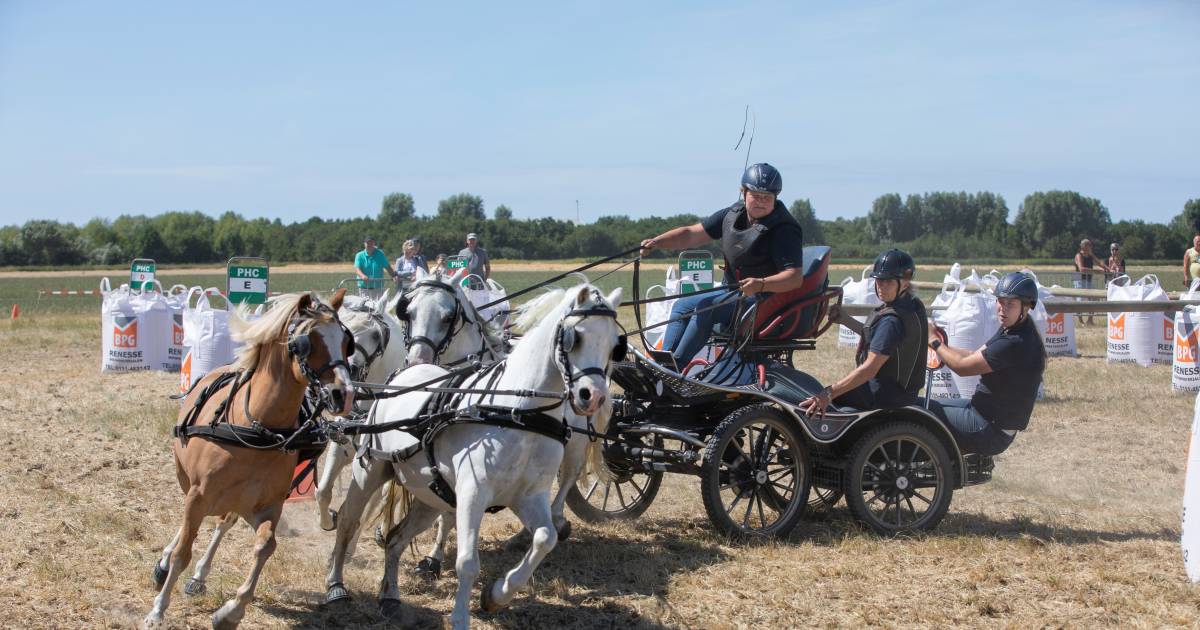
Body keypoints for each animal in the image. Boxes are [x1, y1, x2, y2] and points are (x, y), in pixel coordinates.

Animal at [144, 290, 355, 630]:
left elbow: (266, 545)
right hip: (190, 483)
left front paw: (231, 612)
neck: (257, 425)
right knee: (188, 528)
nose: (343, 395)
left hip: (236, 500)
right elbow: (182, 551)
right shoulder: (198, 495)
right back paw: (165, 564)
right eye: (306, 342)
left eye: (347, 342)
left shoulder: (267, 505)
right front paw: (157, 610)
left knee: (222, 523)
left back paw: (199, 577)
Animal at [325, 283, 625, 629]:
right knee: (348, 520)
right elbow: (467, 561)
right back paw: (335, 585)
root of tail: (402, 374)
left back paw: (390, 598)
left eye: (615, 345)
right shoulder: (472, 494)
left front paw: (497, 594)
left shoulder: (529, 496)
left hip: (429, 495)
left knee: (396, 539)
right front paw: (460, 617)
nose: (593, 396)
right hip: (370, 471)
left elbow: (545, 538)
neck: (517, 413)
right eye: (576, 336)